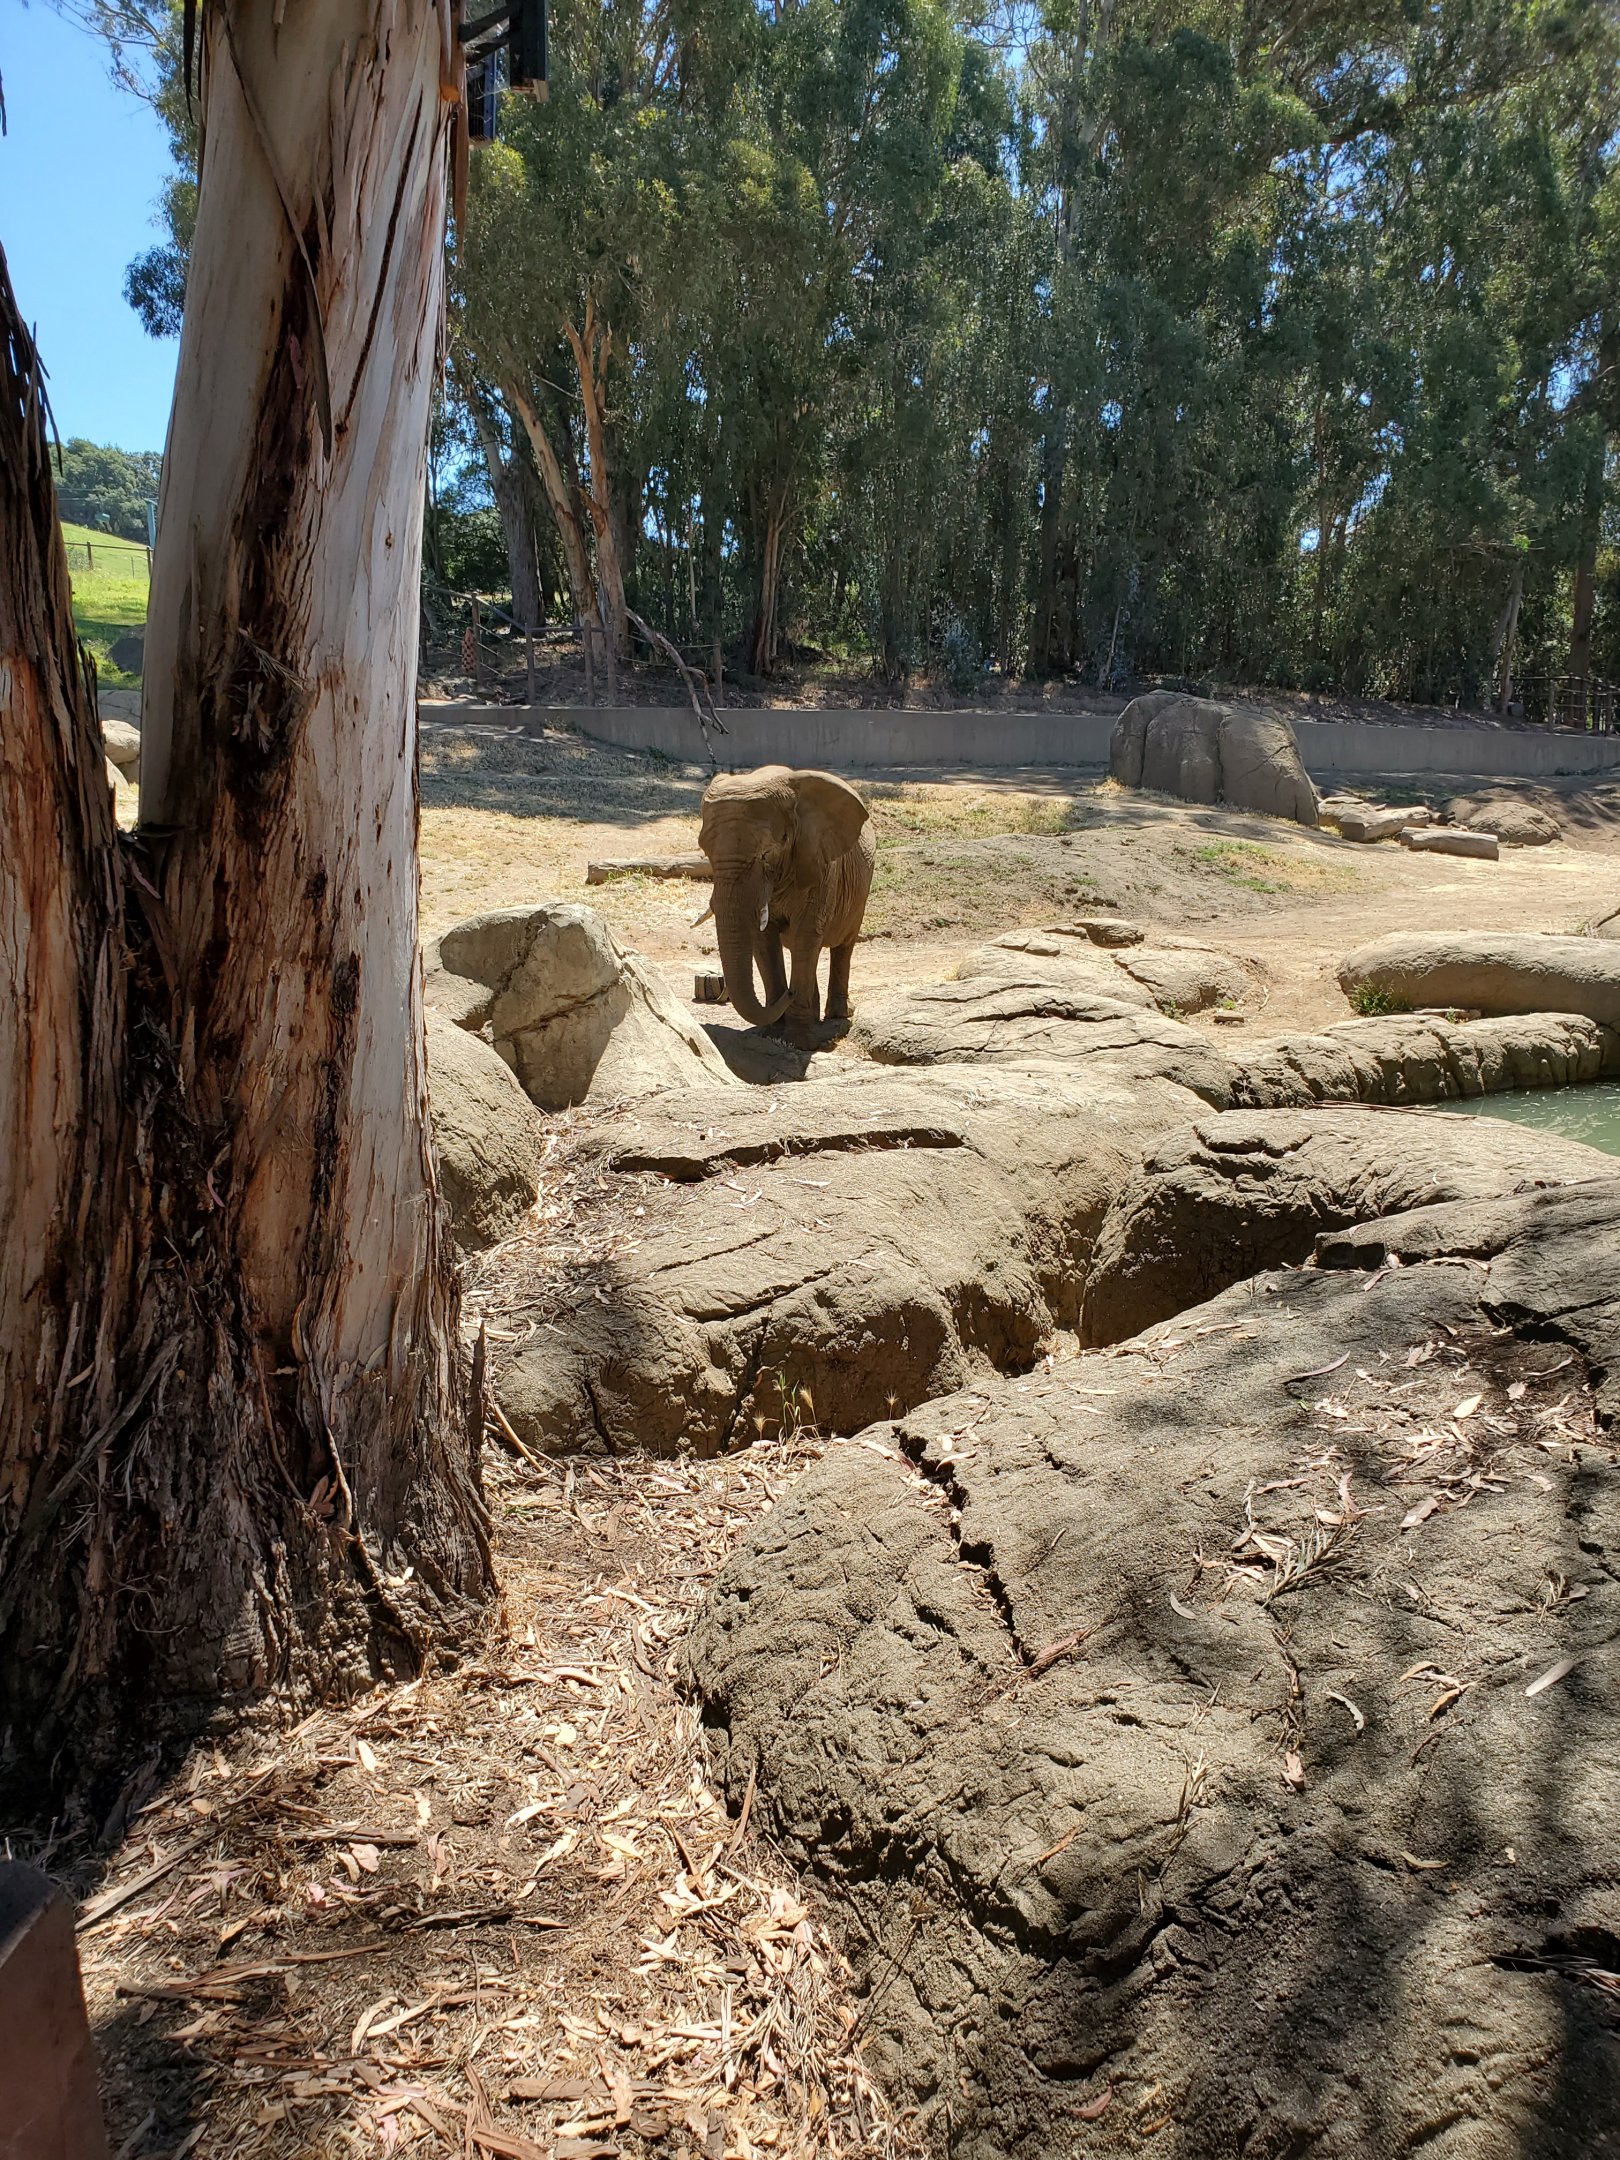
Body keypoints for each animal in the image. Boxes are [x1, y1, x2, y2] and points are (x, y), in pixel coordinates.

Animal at [698, 765, 876, 1041]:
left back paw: (838, 1014)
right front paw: (772, 1031)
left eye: (767, 853)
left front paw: (800, 1041)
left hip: (861, 890)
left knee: (842, 945)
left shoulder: (821, 866)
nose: (789, 994)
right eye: (705, 851)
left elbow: (806, 935)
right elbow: (763, 939)